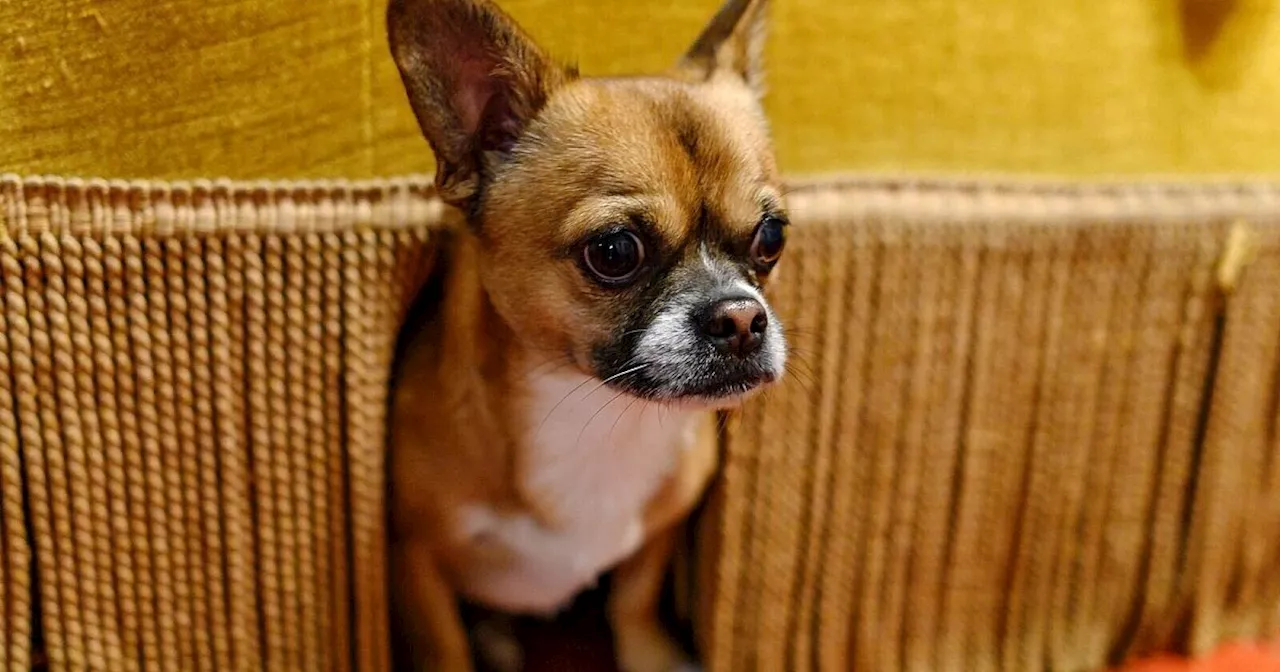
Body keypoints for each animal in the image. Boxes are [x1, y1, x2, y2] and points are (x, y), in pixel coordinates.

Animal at [386, 1, 788, 665]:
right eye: (614, 251)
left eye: (772, 237)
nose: (740, 318)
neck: (597, 415)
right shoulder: (413, 557)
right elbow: (444, 649)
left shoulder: (657, 535)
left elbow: (633, 600)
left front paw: (650, 657)